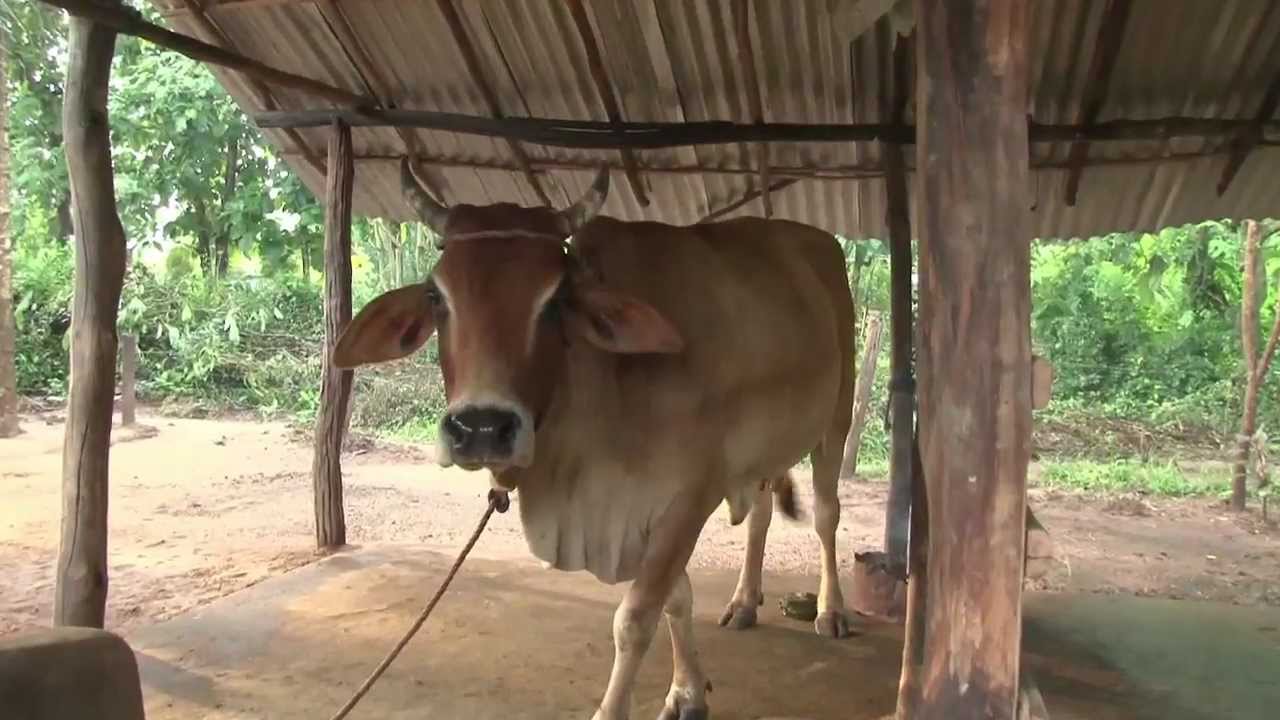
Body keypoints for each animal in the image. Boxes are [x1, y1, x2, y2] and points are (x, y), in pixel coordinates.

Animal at [333, 159, 855, 720]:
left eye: (555, 300)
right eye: (436, 295)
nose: (482, 428)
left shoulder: (688, 499)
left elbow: (635, 618)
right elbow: (677, 598)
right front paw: (688, 691)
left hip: (837, 421)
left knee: (826, 515)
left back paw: (832, 611)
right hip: (763, 454)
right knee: (760, 514)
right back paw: (743, 601)